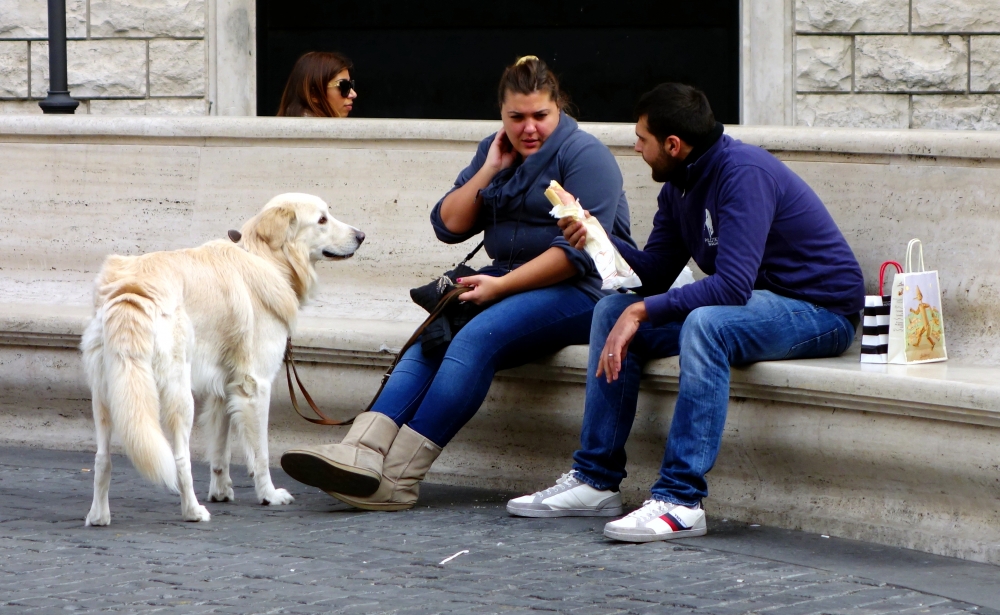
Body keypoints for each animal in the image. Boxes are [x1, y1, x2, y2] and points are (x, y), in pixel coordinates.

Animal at [81, 192, 364, 524]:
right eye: (322, 220)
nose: (362, 236)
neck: (266, 258)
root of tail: (131, 290)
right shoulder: (256, 385)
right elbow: (260, 453)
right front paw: (268, 495)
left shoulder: (225, 385)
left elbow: (221, 445)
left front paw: (221, 491)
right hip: (178, 394)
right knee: (180, 459)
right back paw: (193, 512)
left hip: (109, 393)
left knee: (102, 459)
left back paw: (98, 516)